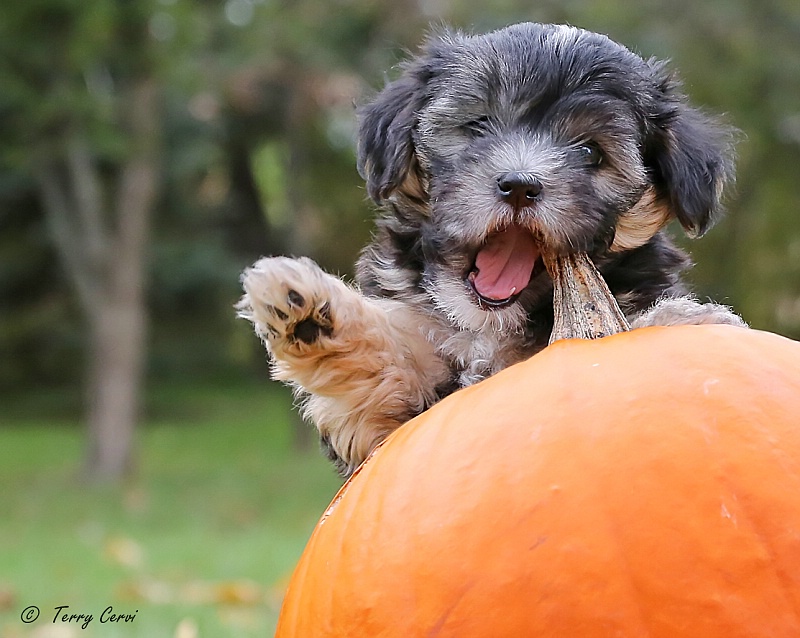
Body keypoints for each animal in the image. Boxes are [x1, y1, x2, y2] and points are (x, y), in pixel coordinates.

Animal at [236, 22, 744, 478]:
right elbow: (390, 359)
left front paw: (676, 321)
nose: (519, 185)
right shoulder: (379, 429)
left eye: (589, 152)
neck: (489, 326)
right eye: (479, 126)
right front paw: (307, 308)